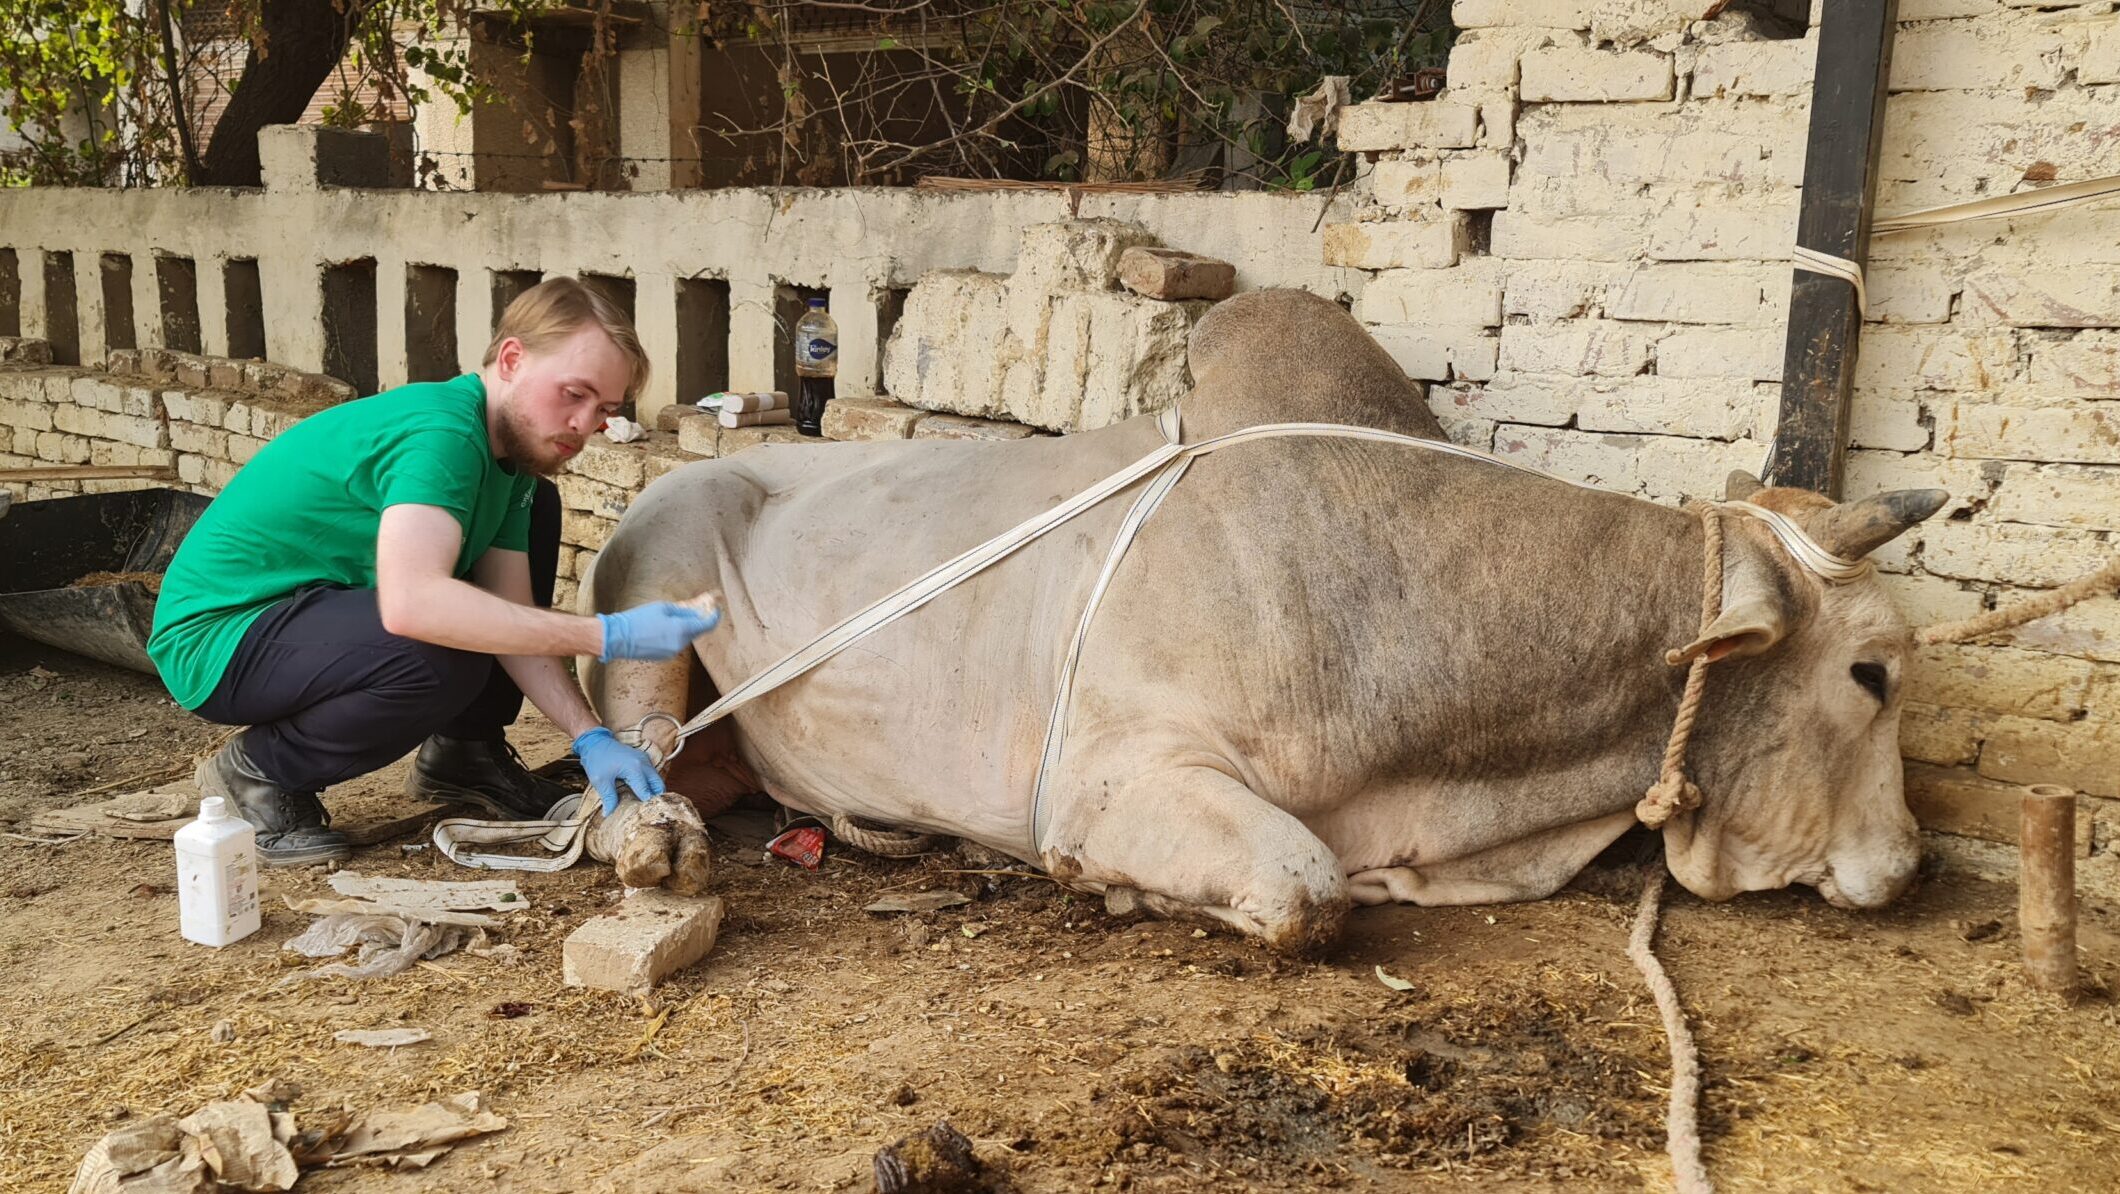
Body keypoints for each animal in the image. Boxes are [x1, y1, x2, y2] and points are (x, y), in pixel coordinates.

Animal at [572, 286, 1941, 954]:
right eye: (1870, 674)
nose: (1912, 865)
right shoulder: (1113, 779)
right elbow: (1304, 892)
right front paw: (1127, 897)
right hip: (650, 570)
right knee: (623, 765)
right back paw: (656, 840)